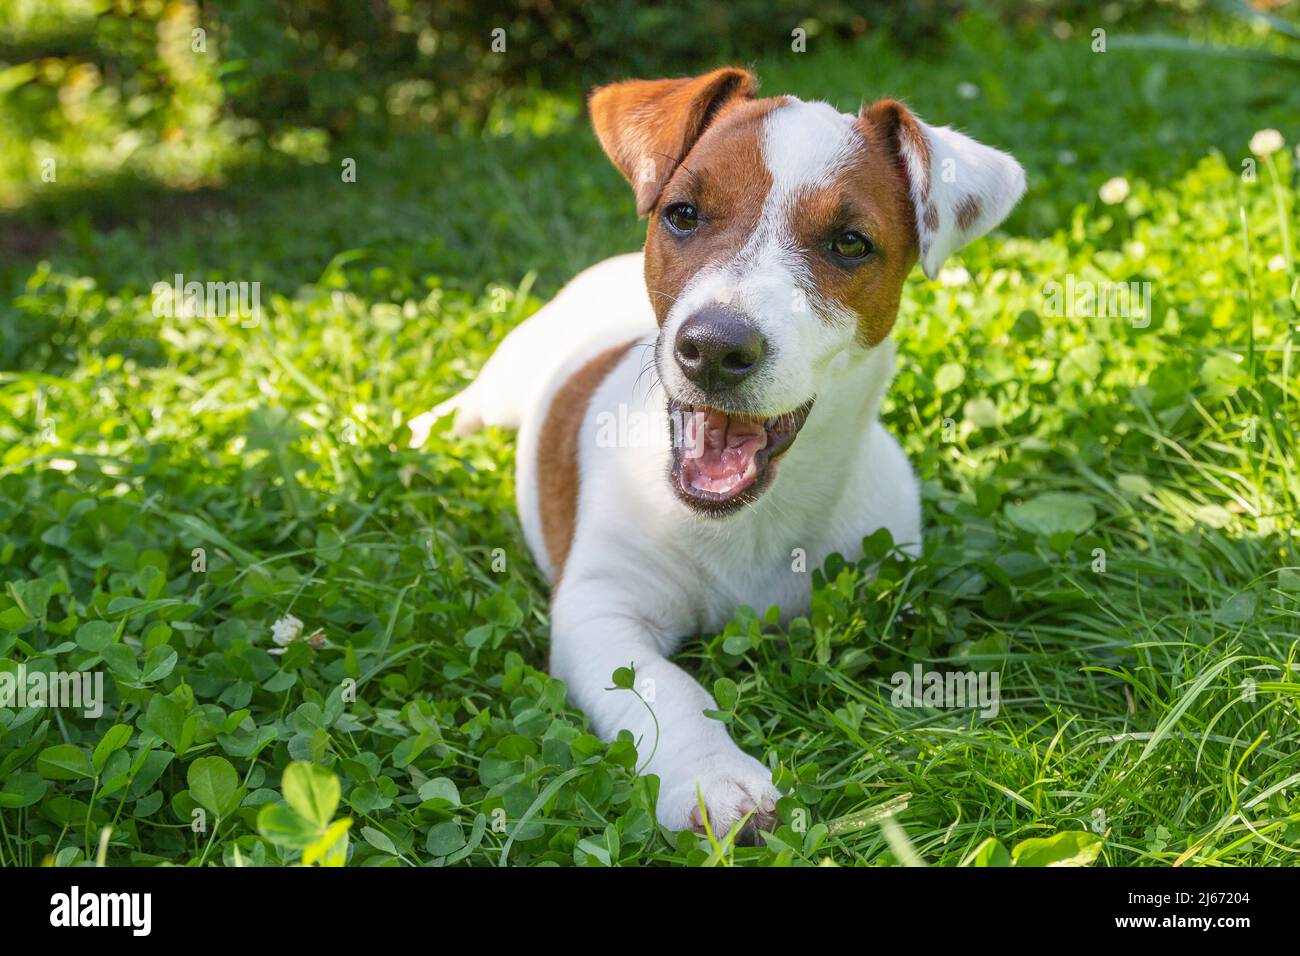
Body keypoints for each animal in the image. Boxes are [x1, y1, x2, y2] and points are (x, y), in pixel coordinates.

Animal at [408, 69, 1024, 842]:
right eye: (682, 214)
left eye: (850, 243)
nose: (712, 348)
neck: (747, 522)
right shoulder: (600, 611)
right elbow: (664, 687)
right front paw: (712, 777)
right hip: (505, 382)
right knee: (465, 406)